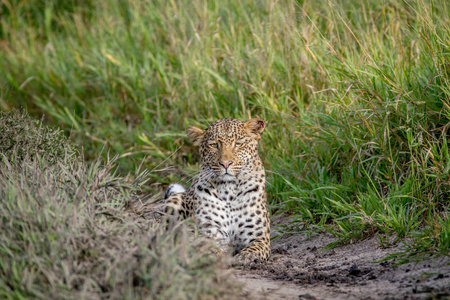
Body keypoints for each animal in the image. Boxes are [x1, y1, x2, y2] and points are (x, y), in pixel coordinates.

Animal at [165, 118, 270, 262]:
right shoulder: (210, 233)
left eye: (238, 144)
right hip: (173, 201)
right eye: (214, 145)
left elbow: (252, 250)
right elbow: (209, 248)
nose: (225, 164)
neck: (229, 190)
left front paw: (242, 258)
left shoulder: (260, 238)